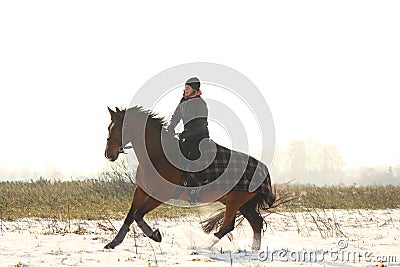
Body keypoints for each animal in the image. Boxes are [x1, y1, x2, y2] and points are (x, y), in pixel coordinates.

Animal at [103, 106, 276, 251]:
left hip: (235, 200)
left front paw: (155, 235)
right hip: (243, 203)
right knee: (256, 222)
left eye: (120, 127)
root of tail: (264, 170)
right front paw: (113, 242)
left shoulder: (160, 196)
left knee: (228, 226)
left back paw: (204, 245)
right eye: (109, 127)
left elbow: (138, 214)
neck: (157, 156)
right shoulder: (141, 191)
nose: (109, 154)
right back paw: (254, 249)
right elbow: (130, 215)